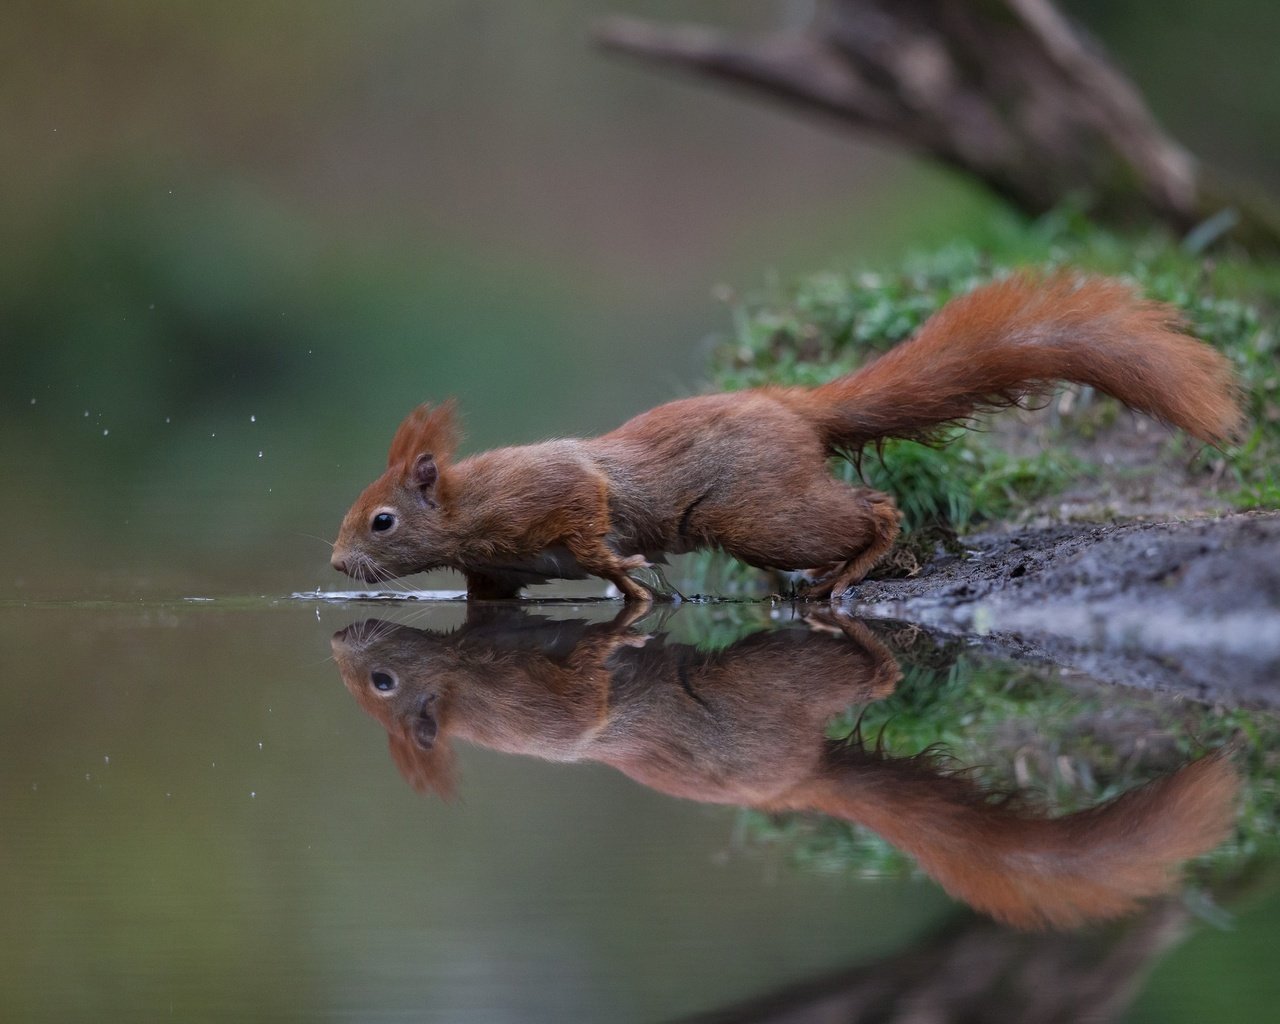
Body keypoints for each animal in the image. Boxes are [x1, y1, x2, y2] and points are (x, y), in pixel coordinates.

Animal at [330, 276, 1239, 604]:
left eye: (381, 520)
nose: (337, 566)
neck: (469, 505)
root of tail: (794, 409)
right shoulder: (495, 568)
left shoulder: (551, 491)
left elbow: (588, 521)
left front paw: (625, 575)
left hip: (758, 514)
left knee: (873, 507)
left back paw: (854, 570)